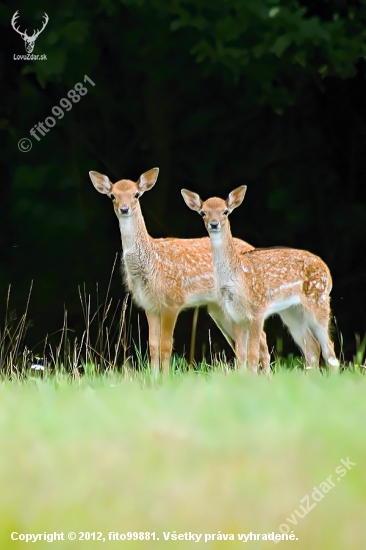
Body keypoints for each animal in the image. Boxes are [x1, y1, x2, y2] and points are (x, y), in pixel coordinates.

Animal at [89, 169, 270, 376]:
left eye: (136, 194)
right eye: (113, 195)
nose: (124, 209)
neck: (151, 264)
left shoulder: (172, 301)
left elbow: (166, 346)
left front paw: (165, 378)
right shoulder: (149, 305)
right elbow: (153, 346)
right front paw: (154, 377)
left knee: (262, 338)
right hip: (219, 309)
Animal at [182, 187, 338, 376]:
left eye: (225, 211)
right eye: (203, 212)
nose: (214, 224)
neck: (238, 279)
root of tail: (326, 269)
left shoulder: (257, 311)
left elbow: (253, 356)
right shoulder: (235, 316)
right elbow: (241, 356)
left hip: (319, 300)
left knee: (329, 349)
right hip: (292, 311)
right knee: (313, 348)